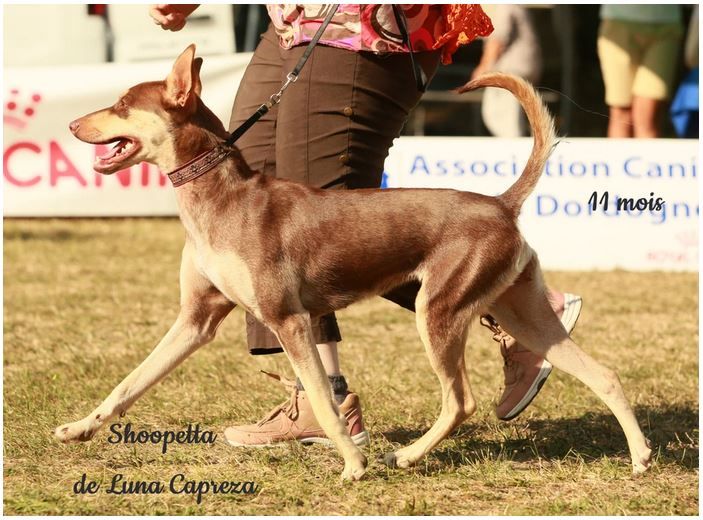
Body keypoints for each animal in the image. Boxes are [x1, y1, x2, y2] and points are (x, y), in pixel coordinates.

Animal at [56, 44, 656, 480]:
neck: (220, 199)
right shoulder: (195, 320)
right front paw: (80, 429)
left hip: (437, 311)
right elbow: (129, 383)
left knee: (460, 401)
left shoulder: (289, 320)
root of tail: (500, 203)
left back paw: (408, 456)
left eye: (122, 104)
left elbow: (324, 401)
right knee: (603, 374)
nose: (71, 125)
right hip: (519, 312)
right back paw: (640, 457)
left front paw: (353, 464)